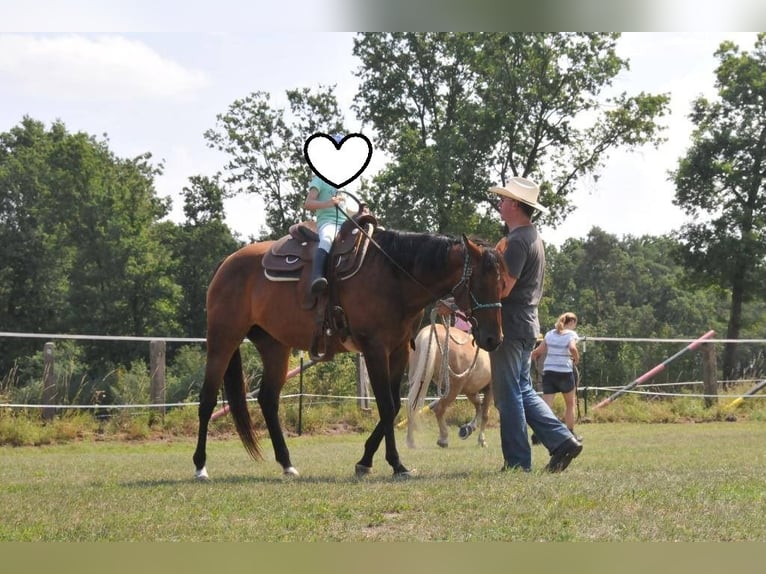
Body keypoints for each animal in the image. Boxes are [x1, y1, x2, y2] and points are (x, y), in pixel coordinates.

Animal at [404, 320, 496, 450]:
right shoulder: (489, 387)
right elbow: (485, 413)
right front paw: (481, 440)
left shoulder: (470, 390)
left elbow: (479, 406)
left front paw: (468, 428)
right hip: (453, 388)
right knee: (439, 409)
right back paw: (443, 439)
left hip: (417, 381)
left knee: (412, 405)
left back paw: (411, 441)